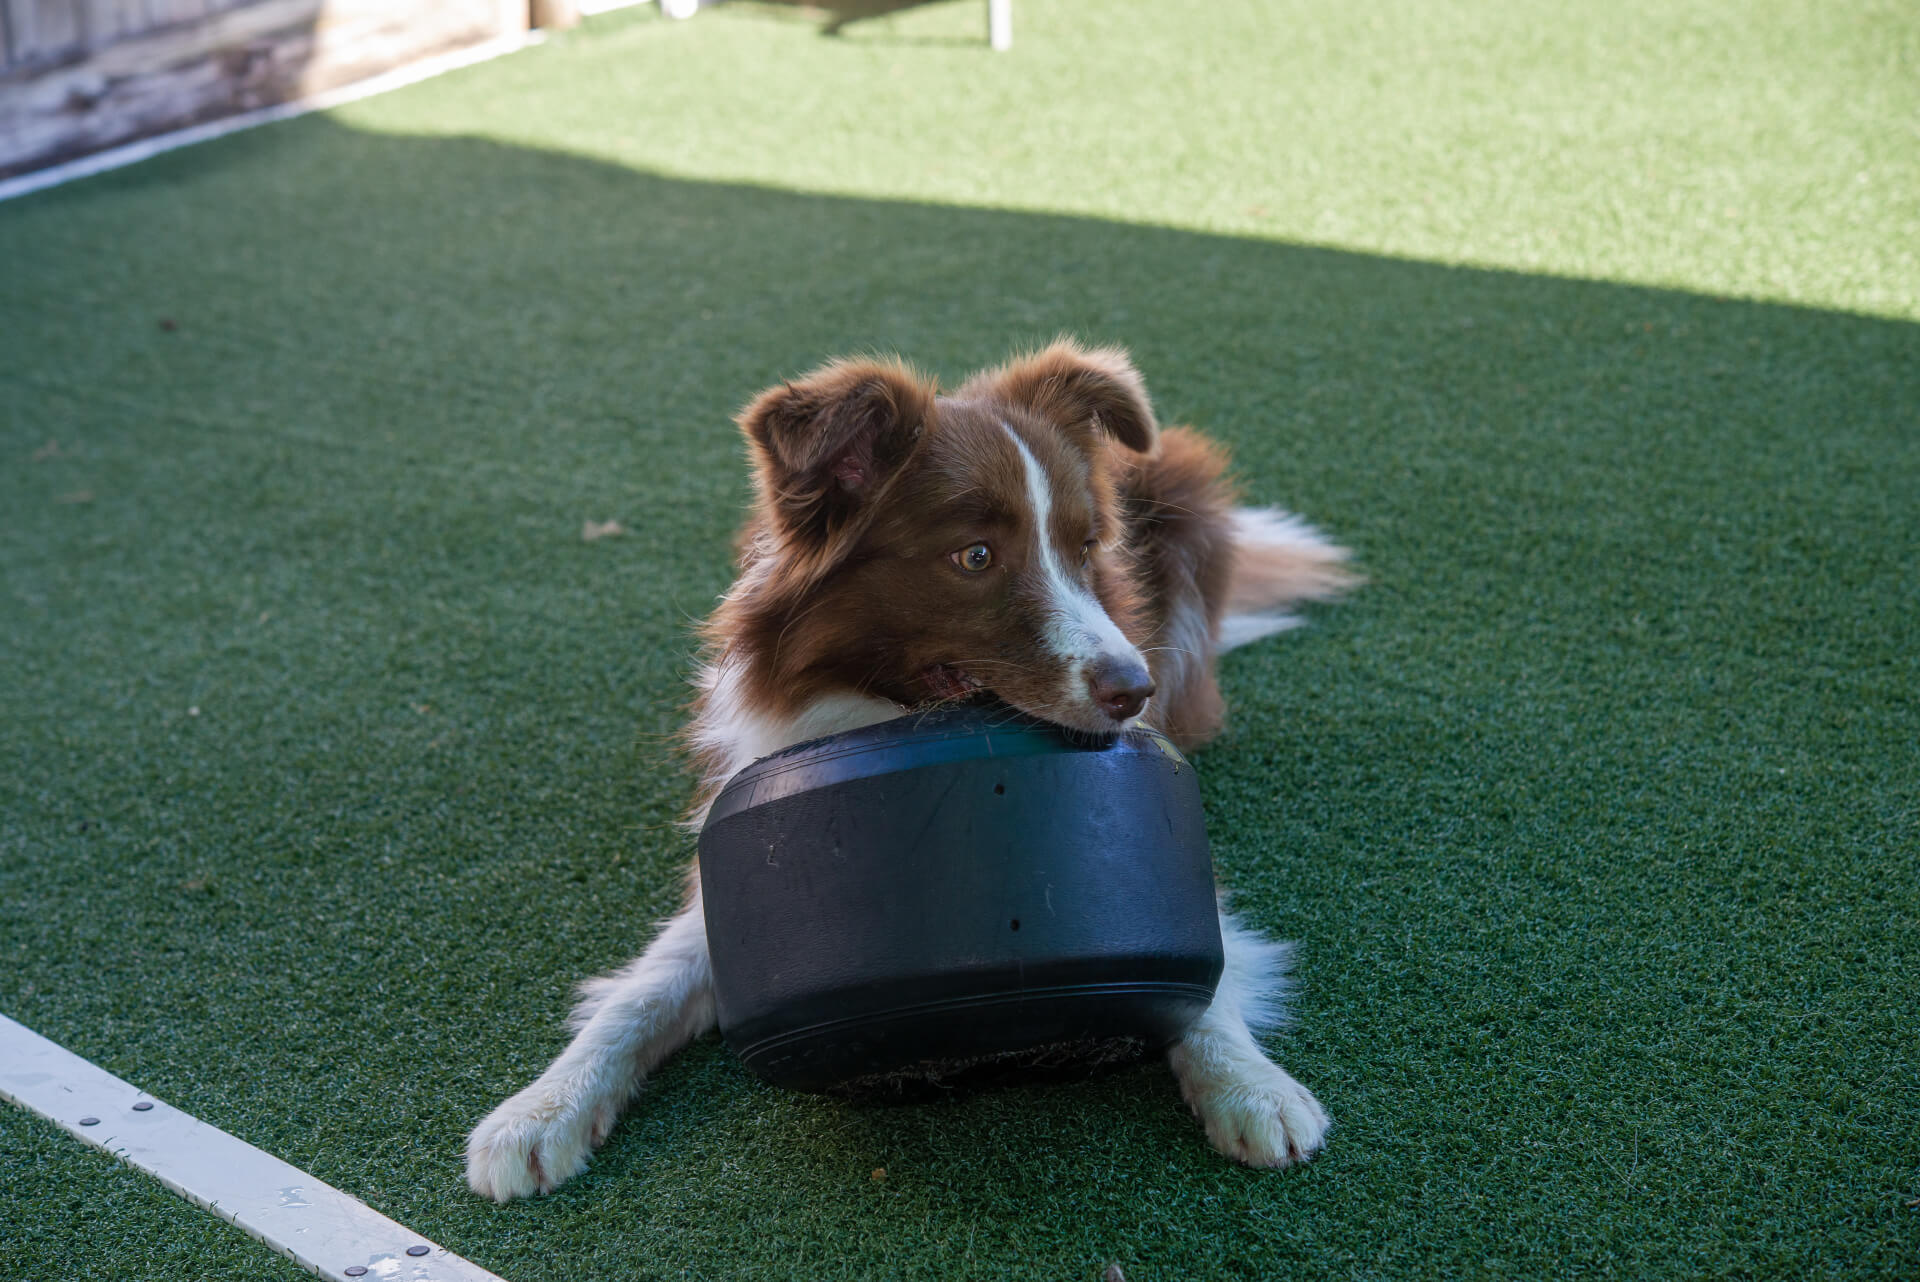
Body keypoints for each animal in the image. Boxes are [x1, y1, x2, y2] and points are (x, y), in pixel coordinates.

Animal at [462, 339, 1351, 1205]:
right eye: (975, 555)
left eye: (1086, 548)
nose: (1136, 690)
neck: (877, 712)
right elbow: (641, 990)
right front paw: (539, 1109)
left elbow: (1207, 972)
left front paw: (1252, 1085)